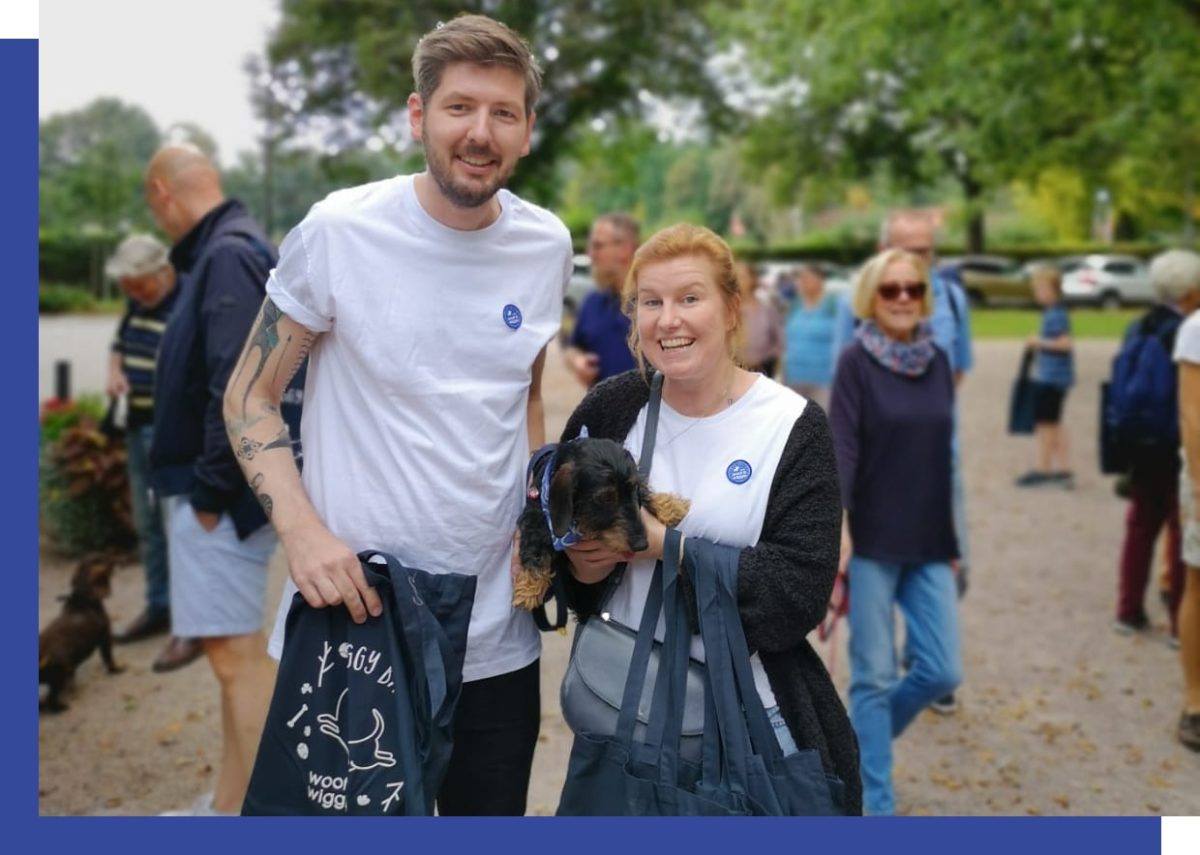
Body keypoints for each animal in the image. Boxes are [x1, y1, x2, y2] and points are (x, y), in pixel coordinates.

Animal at [38, 549, 123, 710]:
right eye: (98, 559)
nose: (116, 554)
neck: (84, 599)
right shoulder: (105, 638)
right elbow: (109, 659)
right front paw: (116, 670)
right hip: (60, 672)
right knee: (52, 700)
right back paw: (61, 707)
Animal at [511, 434, 691, 614]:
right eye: (605, 498)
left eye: (633, 488)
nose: (642, 544)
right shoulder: (536, 517)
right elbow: (534, 548)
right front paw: (529, 587)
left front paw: (670, 506)